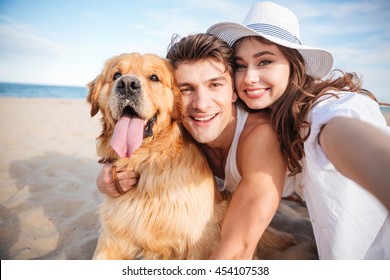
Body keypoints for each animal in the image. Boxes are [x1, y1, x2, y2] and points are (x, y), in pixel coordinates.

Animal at [87, 53, 302, 260]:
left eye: (154, 78)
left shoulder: (200, 241)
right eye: (116, 75)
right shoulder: (114, 239)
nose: (127, 84)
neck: (147, 161)